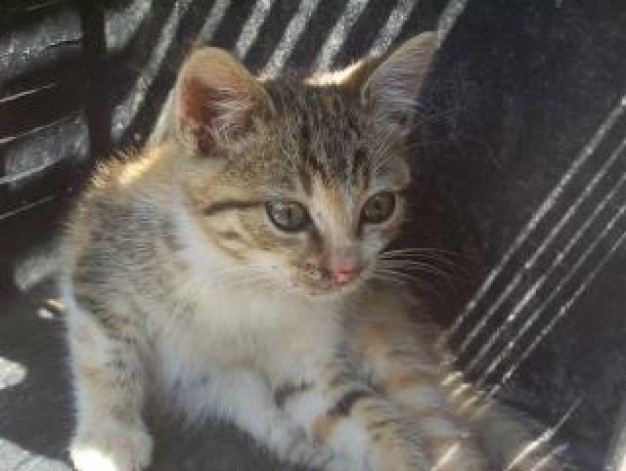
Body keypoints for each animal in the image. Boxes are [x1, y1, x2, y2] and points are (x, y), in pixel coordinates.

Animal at [61, 33, 560, 471]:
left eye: (379, 206)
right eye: (286, 214)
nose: (347, 271)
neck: (236, 278)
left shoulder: (304, 362)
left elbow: (364, 413)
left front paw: (402, 455)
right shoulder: (98, 265)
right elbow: (106, 355)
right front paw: (108, 438)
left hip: (395, 353)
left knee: (448, 434)